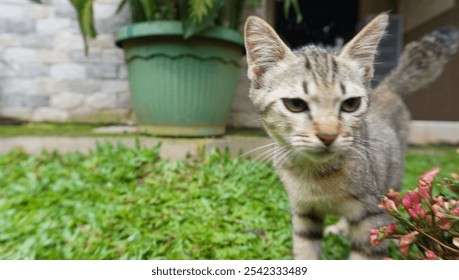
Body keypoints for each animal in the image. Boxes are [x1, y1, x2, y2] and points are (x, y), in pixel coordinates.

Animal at [244, 12, 459, 258]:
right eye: (296, 104)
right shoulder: (304, 213)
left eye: (351, 104)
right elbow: (306, 251)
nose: (328, 136)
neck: (315, 174)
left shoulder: (373, 216)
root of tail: (387, 88)